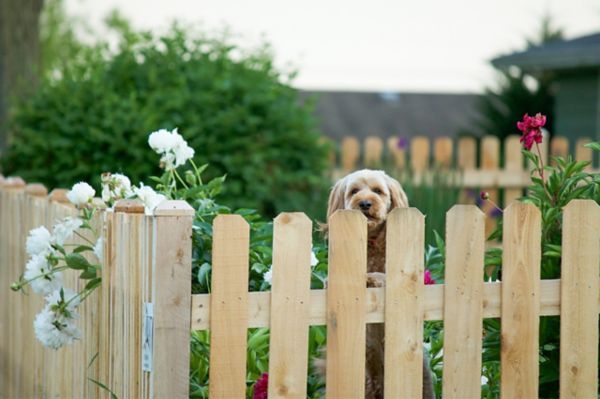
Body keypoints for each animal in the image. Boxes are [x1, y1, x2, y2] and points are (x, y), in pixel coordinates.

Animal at [326, 170, 434, 399]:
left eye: (378, 191)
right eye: (354, 191)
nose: (365, 203)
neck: (372, 240)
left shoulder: (403, 277)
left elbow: (382, 276)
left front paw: (370, 277)